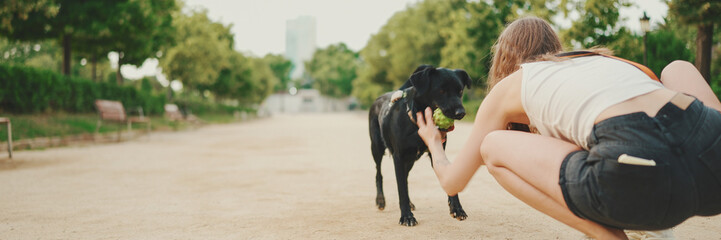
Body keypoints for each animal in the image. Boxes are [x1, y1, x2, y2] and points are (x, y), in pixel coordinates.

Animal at [368, 64, 470, 226]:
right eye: (441, 90)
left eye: (460, 91)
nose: (461, 113)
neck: (416, 124)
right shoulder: (398, 157)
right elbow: (401, 190)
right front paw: (406, 217)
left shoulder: (436, 153)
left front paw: (457, 208)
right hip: (377, 148)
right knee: (379, 173)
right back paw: (380, 200)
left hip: (410, 160)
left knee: (405, 178)